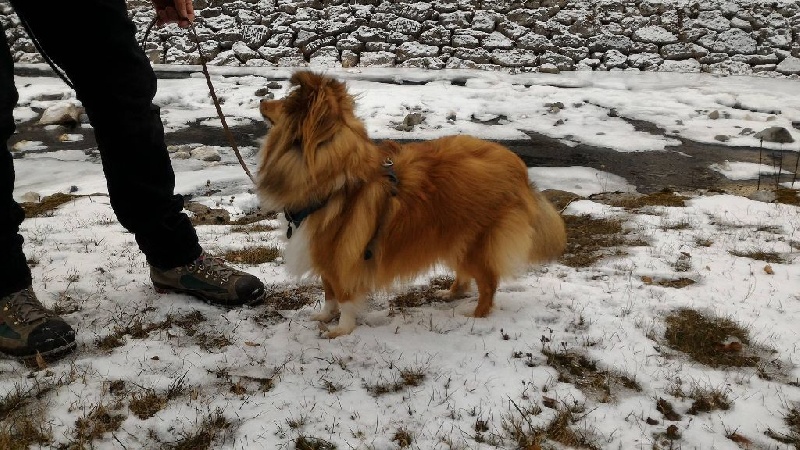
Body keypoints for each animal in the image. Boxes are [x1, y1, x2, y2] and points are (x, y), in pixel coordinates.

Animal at [260, 71, 564, 338]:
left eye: (284, 102)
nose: (261, 101)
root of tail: (518, 168)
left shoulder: (340, 252)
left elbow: (343, 296)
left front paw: (341, 330)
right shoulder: (322, 250)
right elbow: (328, 292)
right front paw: (324, 316)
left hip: (475, 241)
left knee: (489, 282)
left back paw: (476, 315)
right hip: (454, 237)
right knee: (467, 275)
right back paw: (450, 293)